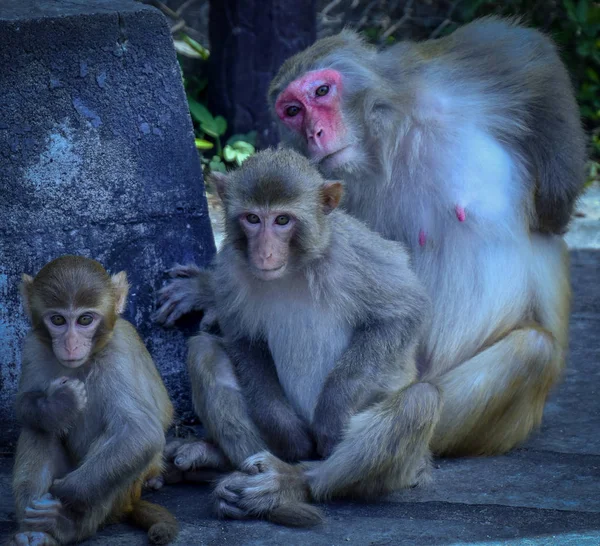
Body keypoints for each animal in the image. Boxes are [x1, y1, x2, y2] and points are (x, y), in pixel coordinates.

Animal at [11, 256, 176, 544]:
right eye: (58, 320)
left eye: (85, 319)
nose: (70, 344)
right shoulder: (32, 346)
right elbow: (24, 403)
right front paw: (59, 405)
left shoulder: (119, 354)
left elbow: (140, 433)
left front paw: (65, 492)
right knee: (39, 427)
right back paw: (33, 530)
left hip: (125, 493)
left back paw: (66, 524)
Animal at [163, 148, 436, 524]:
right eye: (252, 218)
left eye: (282, 220)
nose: (264, 252)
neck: (293, 269)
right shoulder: (231, 269)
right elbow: (243, 339)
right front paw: (286, 433)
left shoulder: (354, 254)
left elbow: (404, 312)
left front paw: (333, 411)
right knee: (204, 351)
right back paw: (231, 469)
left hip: (408, 463)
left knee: (418, 401)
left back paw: (290, 483)